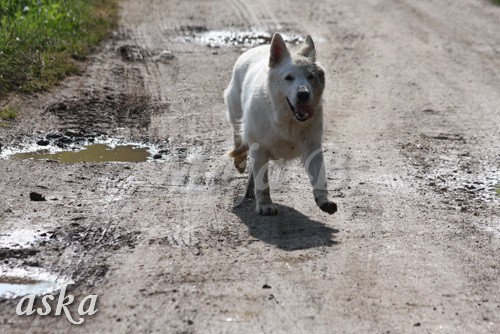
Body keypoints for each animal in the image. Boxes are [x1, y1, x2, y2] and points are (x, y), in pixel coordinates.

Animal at [226, 32, 336, 215]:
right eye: (288, 78)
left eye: (310, 77)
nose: (303, 94)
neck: (286, 119)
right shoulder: (259, 148)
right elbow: (262, 182)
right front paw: (265, 204)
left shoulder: (312, 147)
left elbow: (319, 176)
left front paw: (324, 201)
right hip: (236, 117)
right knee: (238, 139)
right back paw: (240, 162)